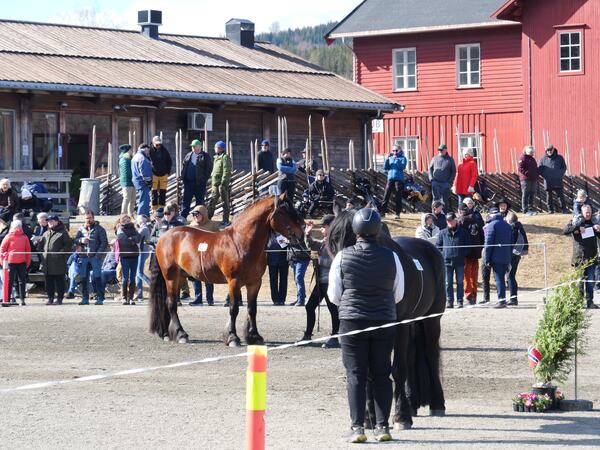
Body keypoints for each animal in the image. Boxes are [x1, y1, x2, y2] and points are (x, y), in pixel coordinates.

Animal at [148, 192, 302, 344]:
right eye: (284, 211)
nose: (301, 233)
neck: (241, 242)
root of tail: (163, 237)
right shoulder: (233, 281)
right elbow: (233, 309)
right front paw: (232, 337)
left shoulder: (254, 283)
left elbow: (252, 309)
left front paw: (254, 336)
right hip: (171, 277)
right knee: (171, 303)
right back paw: (181, 334)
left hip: (178, 277)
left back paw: (166, 333)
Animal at [326, 211, 448, 428]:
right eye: (333, 239)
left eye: (353, 237)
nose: (340, 278)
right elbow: (368, 371)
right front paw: (369, 418)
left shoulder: (398, 327)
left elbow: (398, 368)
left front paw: (401, 417)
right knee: (411, 355)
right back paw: (412, 403)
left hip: (430, 320)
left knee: (431, 355)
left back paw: (436, 404)